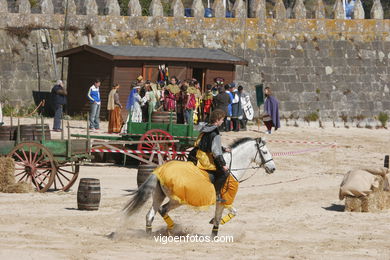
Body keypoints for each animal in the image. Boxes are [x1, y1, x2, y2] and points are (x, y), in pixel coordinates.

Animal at [123, 137, 276, 237]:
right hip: (177, 200)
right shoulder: (225, 200)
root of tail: (160, 170)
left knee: (151, 214)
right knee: (162, 210)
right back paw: (173, 229)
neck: (232, 166)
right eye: (265, 152)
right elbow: (232, 213)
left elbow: (221, 217)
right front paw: (214, 225)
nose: (273, 168)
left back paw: (153, 234)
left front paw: (214, 232)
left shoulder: (221, 202)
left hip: (158, 195)